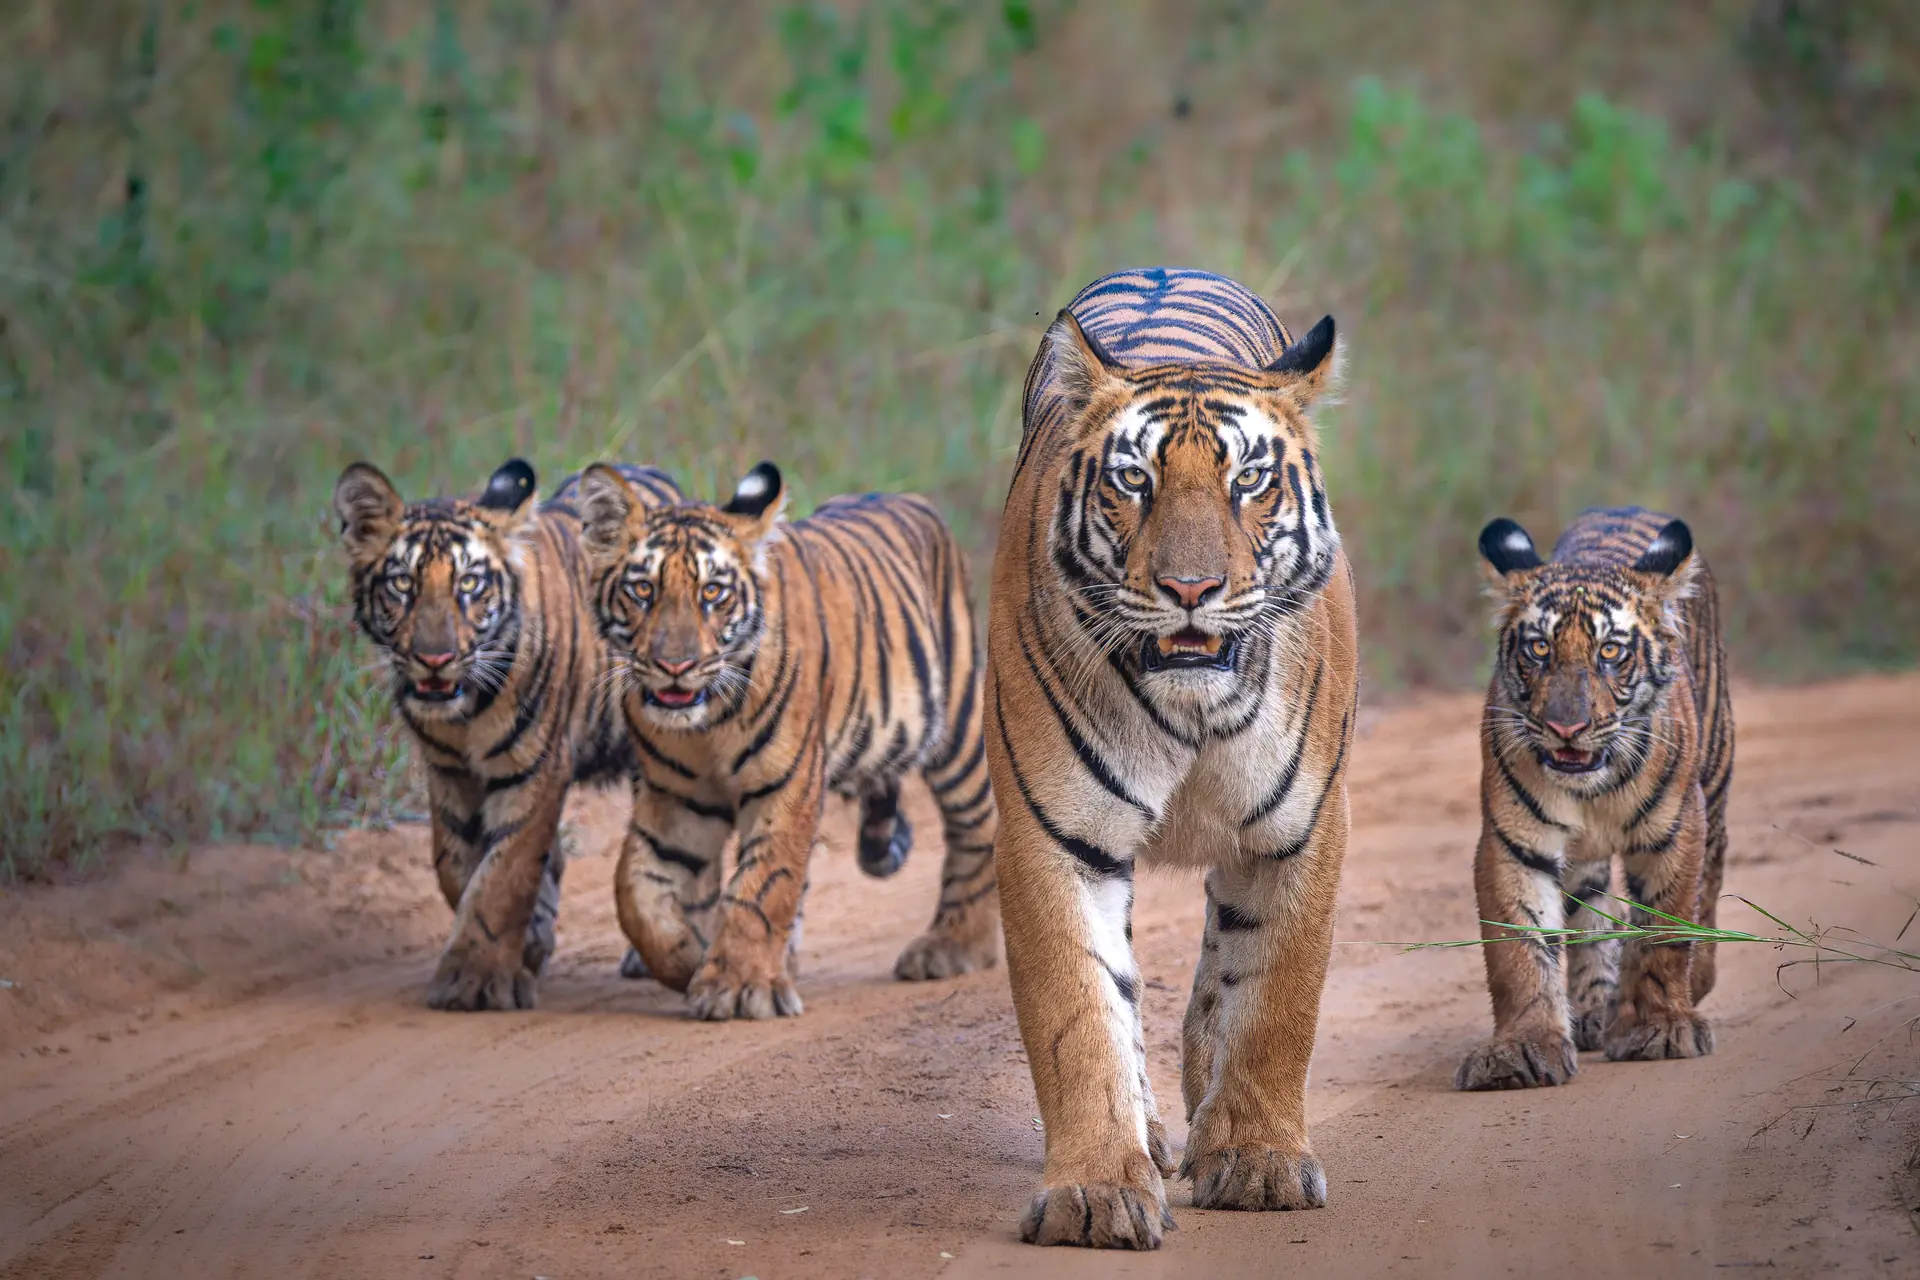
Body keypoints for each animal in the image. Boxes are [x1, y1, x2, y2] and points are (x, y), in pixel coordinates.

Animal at [332, 456, 682, 1010]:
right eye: (403, 584)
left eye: (470, 585)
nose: (435, 658)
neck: (466, 712)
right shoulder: (448, 773)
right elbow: (457, 867)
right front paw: (523, 947)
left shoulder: (534, 770)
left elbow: (504, 873)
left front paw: (474, 981)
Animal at [572, 459, 1000, 1021]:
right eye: (642, 590)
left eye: (713, 593)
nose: (675, 666)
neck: (706, 726)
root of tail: (908, 499)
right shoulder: (676, 801)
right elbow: (634, 891)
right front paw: (690, 960)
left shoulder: (788, 786)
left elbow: (764, 885)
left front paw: (737, 986)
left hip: (958, 723)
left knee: (977, 825)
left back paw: (953, 948)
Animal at [985, 267, 1355, 1250]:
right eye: (1135, 480)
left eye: (1248, 481)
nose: (1192, 590)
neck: (1190, 707)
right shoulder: (1054, 835)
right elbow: (1081, 1014)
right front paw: (1096, 1191)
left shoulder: (1300, 830)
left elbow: (1276, 1000)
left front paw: (1260, 1161)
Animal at [1456, 507, 1733, 1090]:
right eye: (1539, 648)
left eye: (1610, 652)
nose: (1568, 727)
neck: (1592, 787)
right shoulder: (1514, 843)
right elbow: (1520, 952)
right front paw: (1522, 1049)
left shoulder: (1675, 830)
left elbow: (1663, 929)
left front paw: (1660, 1027)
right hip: (1585, 862)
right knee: (1592, 912)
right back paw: (1590, 1011)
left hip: (1715, 782)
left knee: (1711, 879)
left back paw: (1696, 979)